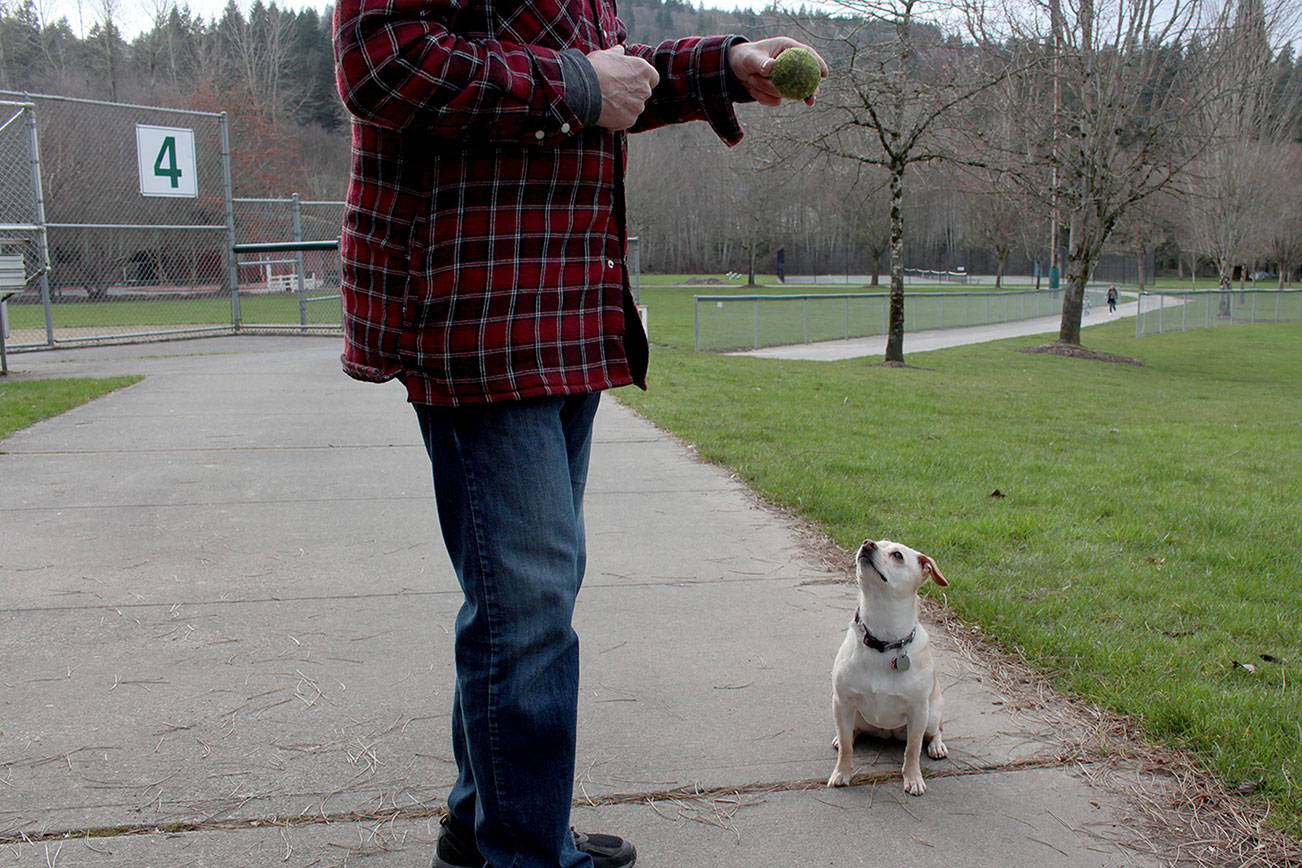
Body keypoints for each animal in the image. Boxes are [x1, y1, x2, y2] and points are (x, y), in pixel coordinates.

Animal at [828, 538, 953, 796]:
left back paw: (937, 746)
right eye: (877, 541)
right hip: (854, 715)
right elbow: (846, 747)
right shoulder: (842, 702)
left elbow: (912, 749)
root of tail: (888, 732)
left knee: (936, 731)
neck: (882, 639)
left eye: (897, 555)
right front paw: (842, 772)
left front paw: (913, 778)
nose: (867, 543)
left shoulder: (918, 712)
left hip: (932, 714)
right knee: (850, 733)